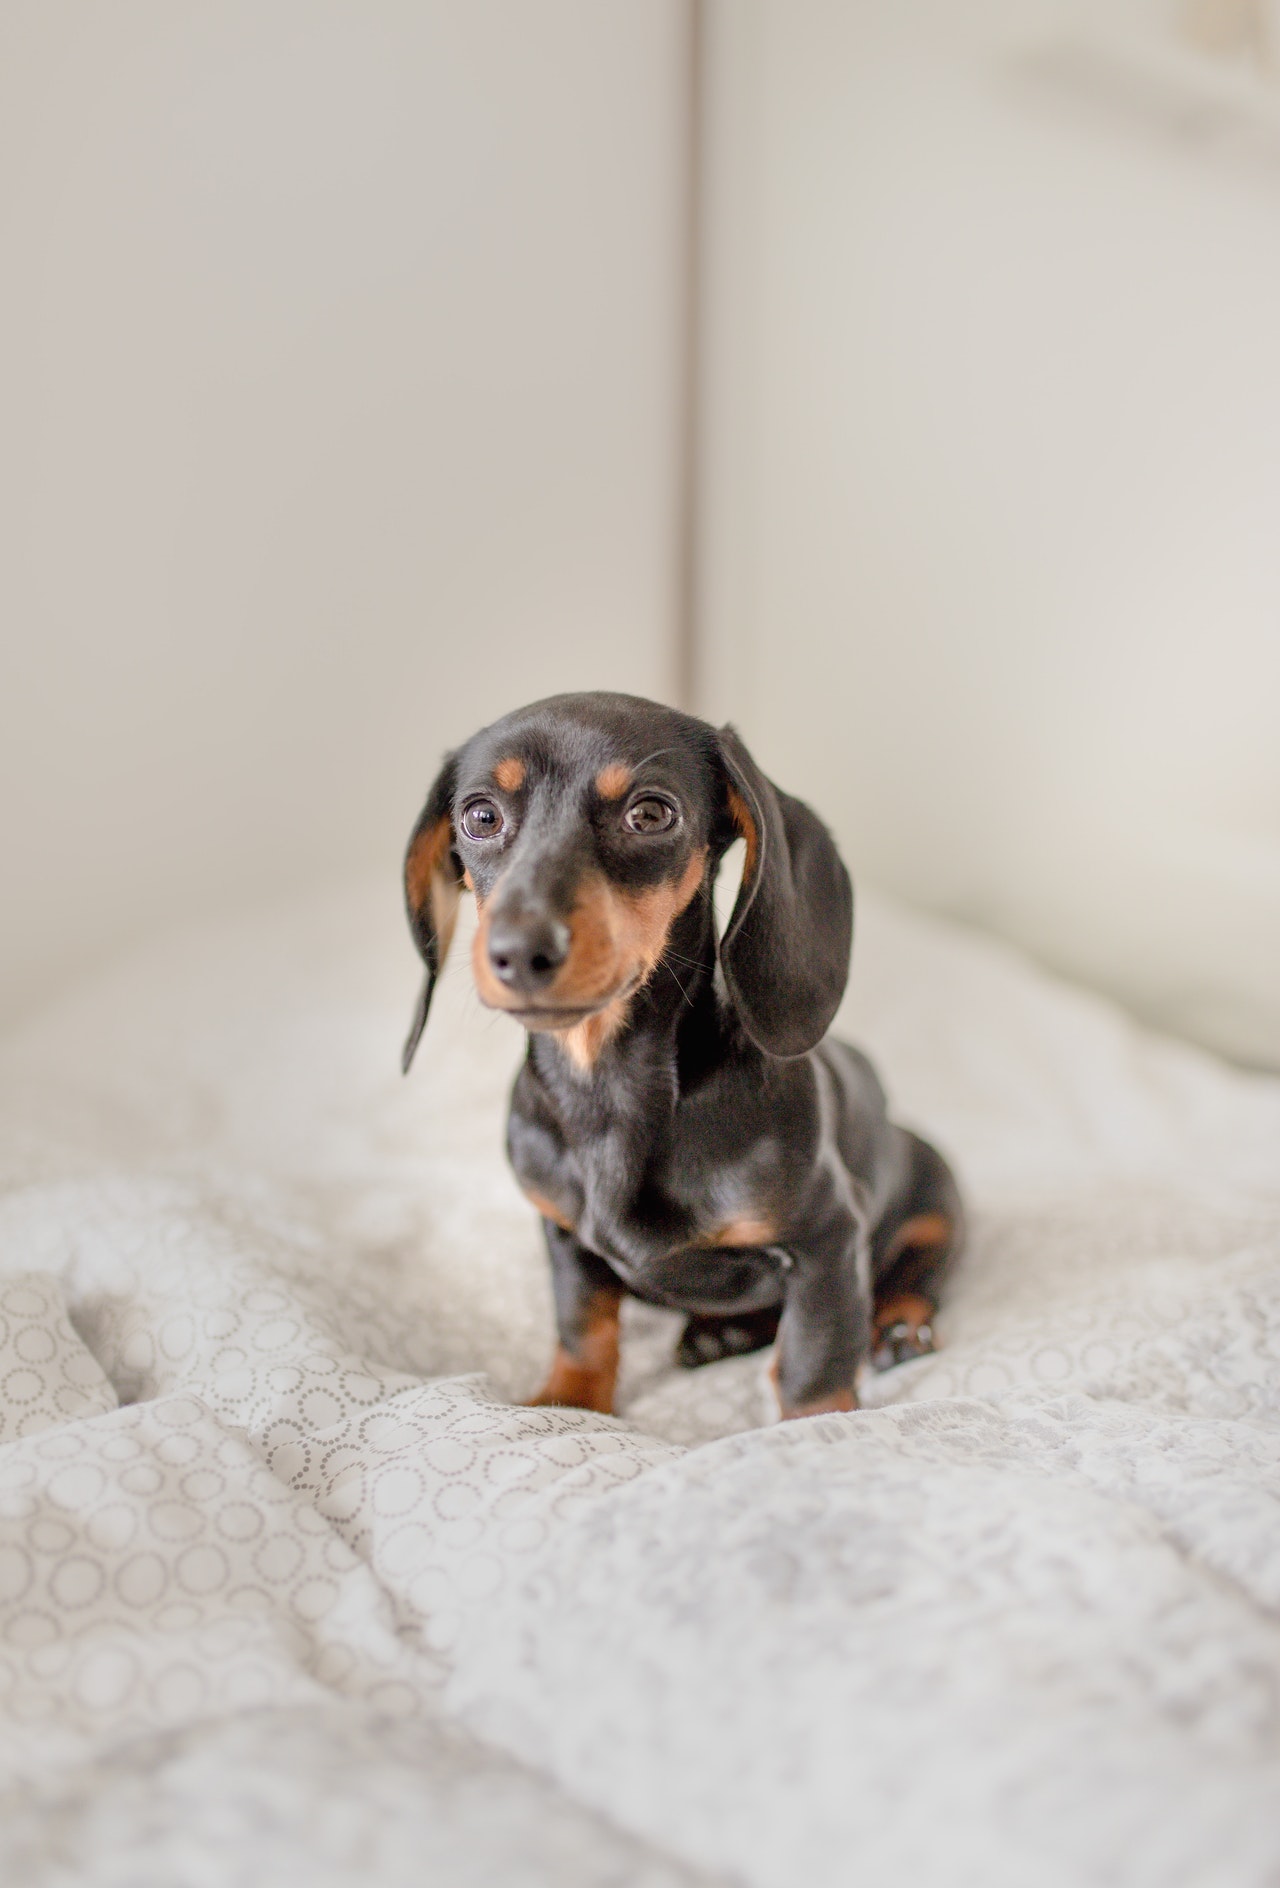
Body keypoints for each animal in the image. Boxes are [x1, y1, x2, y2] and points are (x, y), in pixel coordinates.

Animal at [404, 694, 962, 1419]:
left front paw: (818, 1429)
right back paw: (724, 1332)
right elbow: (583, 1325)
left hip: (938, 1195)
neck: (609, 1093)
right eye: (479, 816)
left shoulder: (830, 1238)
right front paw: (567, 1405)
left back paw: (896, 1325)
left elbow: (814, 1355)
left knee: (919, 1270)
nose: (520, 951)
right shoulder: (561, 1236)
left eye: (649, 813)